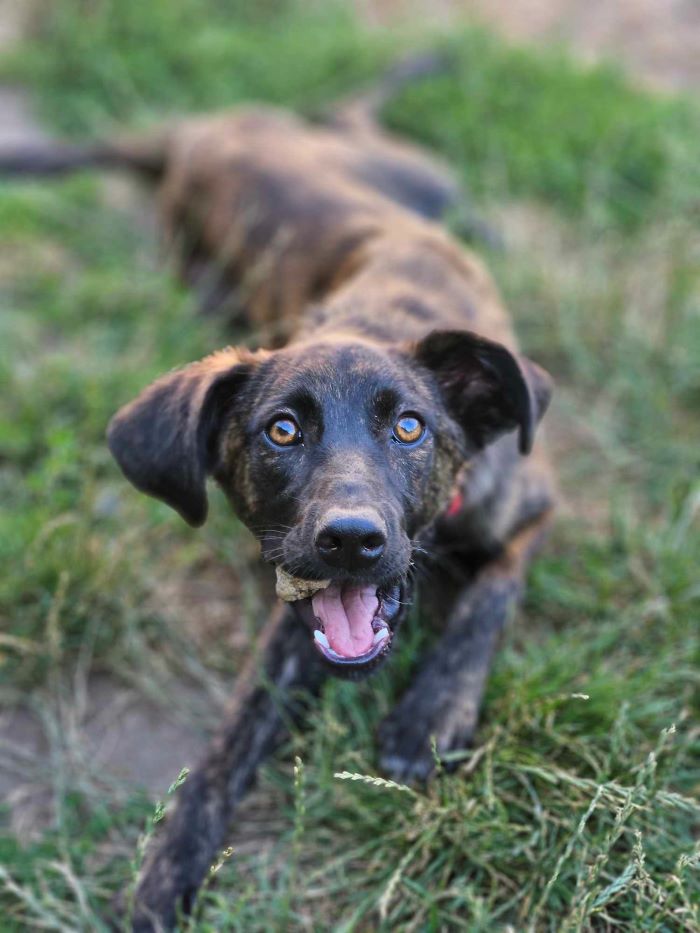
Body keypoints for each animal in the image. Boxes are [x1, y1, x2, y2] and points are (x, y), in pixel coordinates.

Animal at [4, 60, 552, 932]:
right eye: (282, 431)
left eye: (409, 427)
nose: (351, 539)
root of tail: (200, 130)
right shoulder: (292, 620)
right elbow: (232, 734)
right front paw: (169, 861)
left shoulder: (533, 505)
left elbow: (488, 600)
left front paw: (432, 710)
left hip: (414, 171)